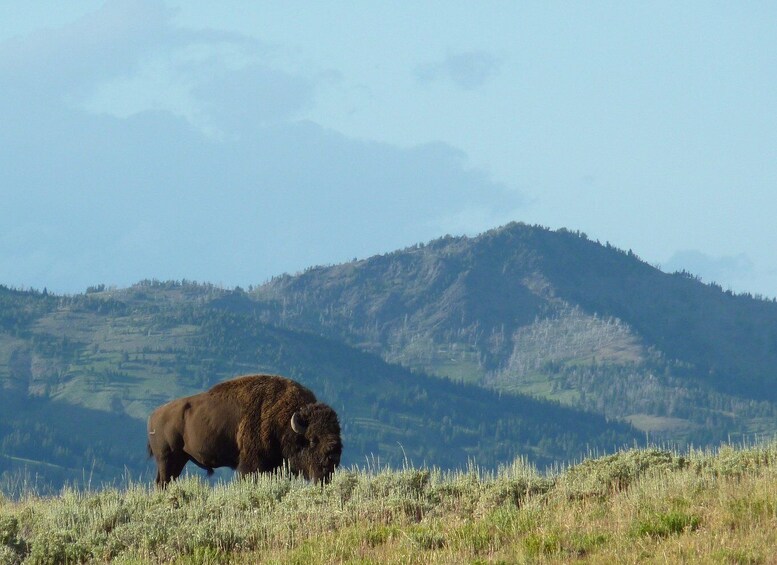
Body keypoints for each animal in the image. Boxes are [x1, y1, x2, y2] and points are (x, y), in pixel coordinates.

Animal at [146, 374, 340, 484]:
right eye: (313, 439)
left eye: (337, 433)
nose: (333, 457)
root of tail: (154, 415)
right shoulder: (251, 465)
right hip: (167, 459)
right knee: (162, 482)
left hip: (179, 459)